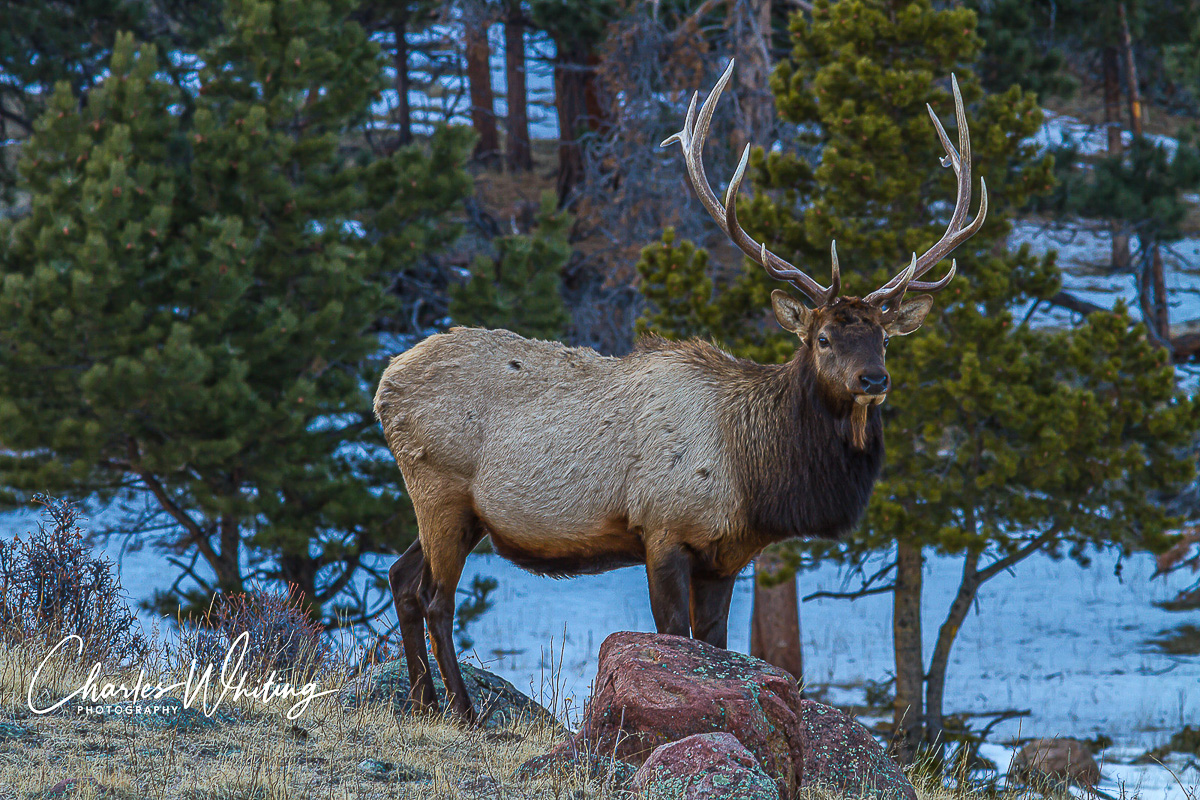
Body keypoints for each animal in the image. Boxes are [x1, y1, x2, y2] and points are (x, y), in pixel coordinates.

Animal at [374, 61, 984, 719]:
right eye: (822, 338)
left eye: (883, 339)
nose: (874, 379)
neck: (757, 479)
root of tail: (383, 386)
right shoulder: (662, 527)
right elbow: (673, 637)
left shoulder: (727, 556)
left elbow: (714, 644)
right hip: (442, 489)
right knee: (435, 597)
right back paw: (460, 710)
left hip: (455, 511)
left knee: (401, 579)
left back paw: (422, 700)